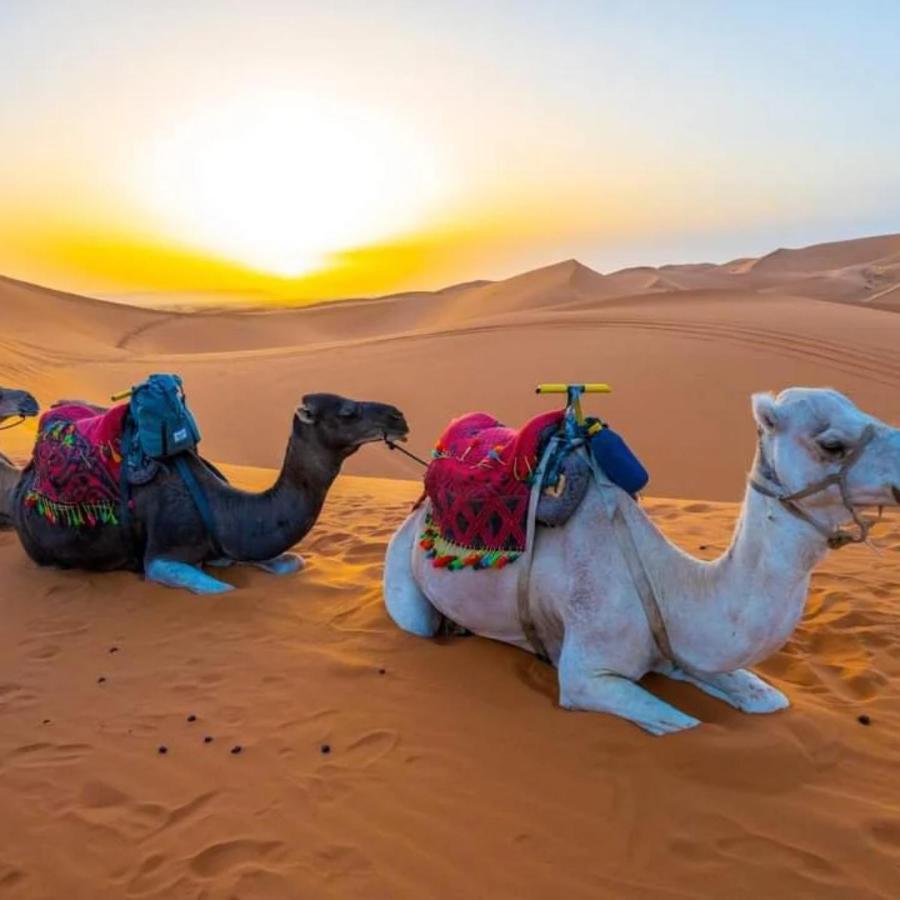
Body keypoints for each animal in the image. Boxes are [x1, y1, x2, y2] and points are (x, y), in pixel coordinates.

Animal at [382, 386, 900, 732]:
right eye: (831, 444)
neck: (670, 586)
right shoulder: (585, 675)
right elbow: (686, 726)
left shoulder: (682, 648)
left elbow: (767, 699)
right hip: (403, 580)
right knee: (418, 622)